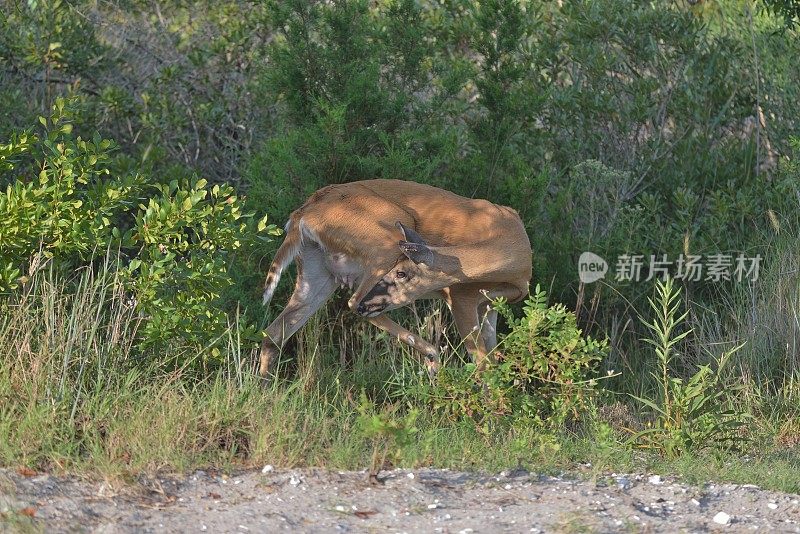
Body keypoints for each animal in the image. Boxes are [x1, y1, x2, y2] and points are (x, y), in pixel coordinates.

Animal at [258, 181, 532, 382]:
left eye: (402, 273)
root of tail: (303, 214)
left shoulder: (489, 305)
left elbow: (493, 358)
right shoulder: (460, 296)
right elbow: (482, 363)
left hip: (318, 272)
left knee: (274, 333)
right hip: (384, 242)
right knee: (353, 302)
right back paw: (431, 357)